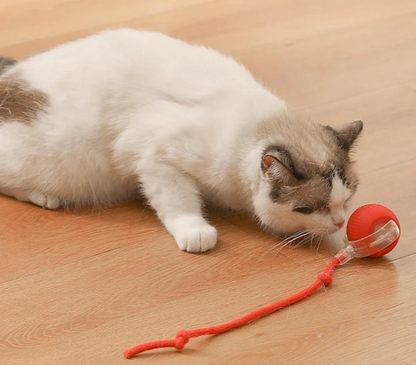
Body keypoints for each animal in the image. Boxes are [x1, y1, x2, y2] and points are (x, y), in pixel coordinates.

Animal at [0, 28, 362, 252]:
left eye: (346, 200)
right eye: (309, 208)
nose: (339, 222)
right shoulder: (155, 158)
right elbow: (179, 202)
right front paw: (196, 232)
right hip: (61, 161)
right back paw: (44, 197)